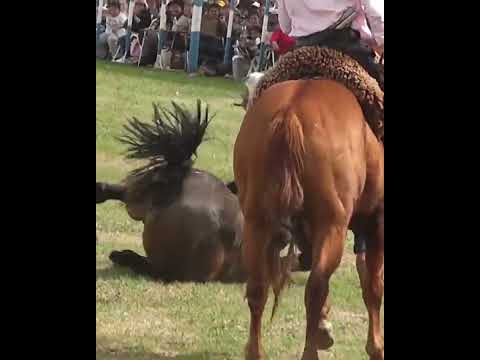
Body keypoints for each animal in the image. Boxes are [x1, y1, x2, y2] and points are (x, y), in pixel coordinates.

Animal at [95, 100, 294, 282]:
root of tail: (175, 184)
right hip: (174, 267)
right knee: (155, 270)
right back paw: (122, 256)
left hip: (139, 192)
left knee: (115, 190)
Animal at [234, 80, 384, 358]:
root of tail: (290, 113)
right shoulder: (375, 224)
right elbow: (373, 286)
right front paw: (376, 346)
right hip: (332, 224)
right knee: (316, 287)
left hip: (257, 222)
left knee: (258, 287)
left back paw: (257, 351)